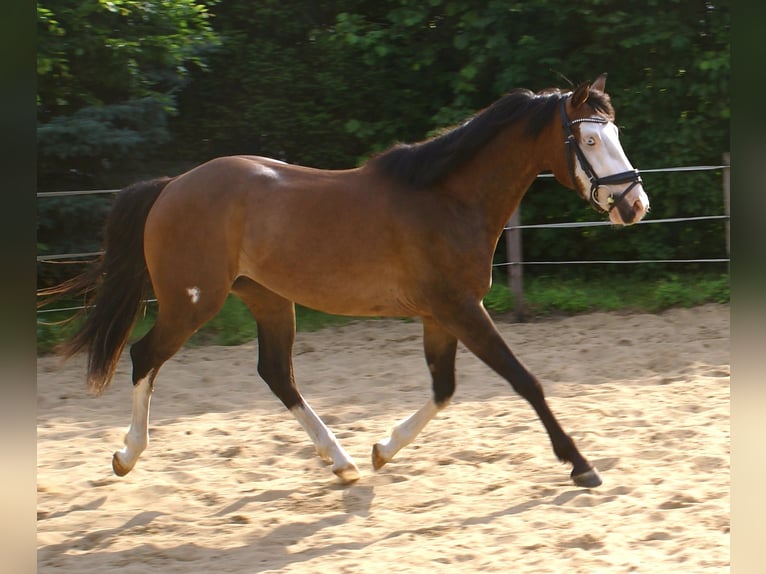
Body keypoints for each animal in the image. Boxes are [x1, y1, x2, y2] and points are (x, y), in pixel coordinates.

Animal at [40, 74, 649, 488]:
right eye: (589, 141)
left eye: (617, 131)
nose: (635, 205)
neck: (446, 200)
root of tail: (170, 186)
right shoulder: (461, 309)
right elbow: (526, 382)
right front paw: (581, 466)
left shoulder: (441, 314)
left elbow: (444, 389)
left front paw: (382, 449)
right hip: (192, 303)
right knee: (144, 356)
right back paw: (126, 455)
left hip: (267, 300)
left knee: (276, 374)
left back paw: (344, 462)